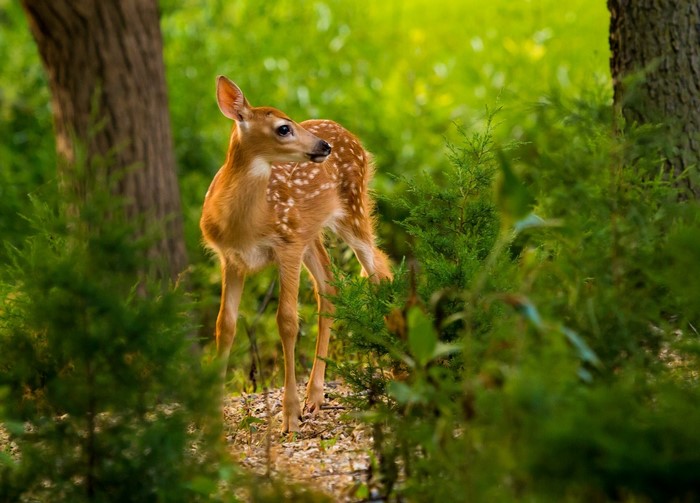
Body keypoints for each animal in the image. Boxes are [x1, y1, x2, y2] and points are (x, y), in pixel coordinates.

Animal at [200, 76, 392, 432]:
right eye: (283, 128)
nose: (323, 147)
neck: (245, 224)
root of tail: (348, 133)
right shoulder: (230, 259)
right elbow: (225, 324)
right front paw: (212, 416)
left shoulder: (286, 246)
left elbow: (287, 321)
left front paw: (289, 416)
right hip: (310, 233)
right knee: (330, 286)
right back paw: (314, 396)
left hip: (353, 209)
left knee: (378, 272)